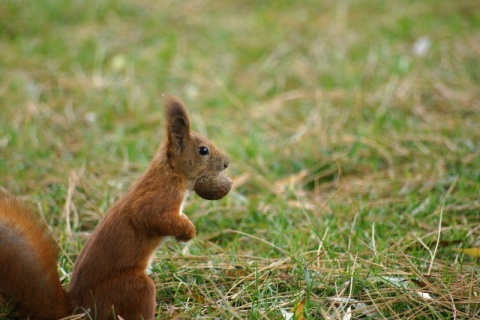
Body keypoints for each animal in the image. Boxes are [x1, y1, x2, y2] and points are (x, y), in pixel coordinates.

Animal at [0, 95, 231, 320]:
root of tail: (79, 308)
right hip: (132, 288)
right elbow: (149, 216)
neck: (170, 171)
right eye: (203, 150)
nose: (227, 163)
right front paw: (188, 231)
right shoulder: (160, 196)